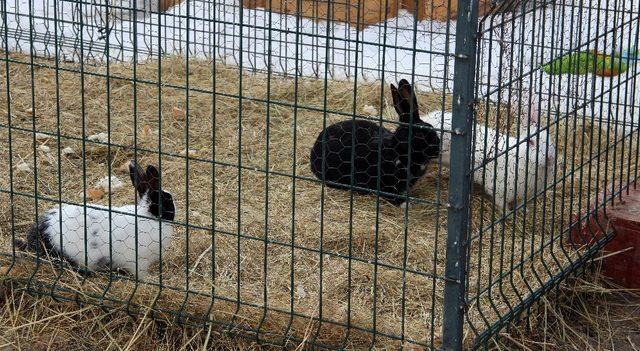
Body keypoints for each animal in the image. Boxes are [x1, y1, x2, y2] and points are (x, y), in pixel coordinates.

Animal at [19, 161, 176, 280]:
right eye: (167, 201)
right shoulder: (138, 261)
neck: (148, 215)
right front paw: (150, 279)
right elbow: (140, 274)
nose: (174, 214)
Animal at [422, 104, 552, 212]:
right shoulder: (499, 190)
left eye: (550, 139)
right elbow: (502, 205)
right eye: (531, 142)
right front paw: (508, 215)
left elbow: (520, 205)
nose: (549, 158)